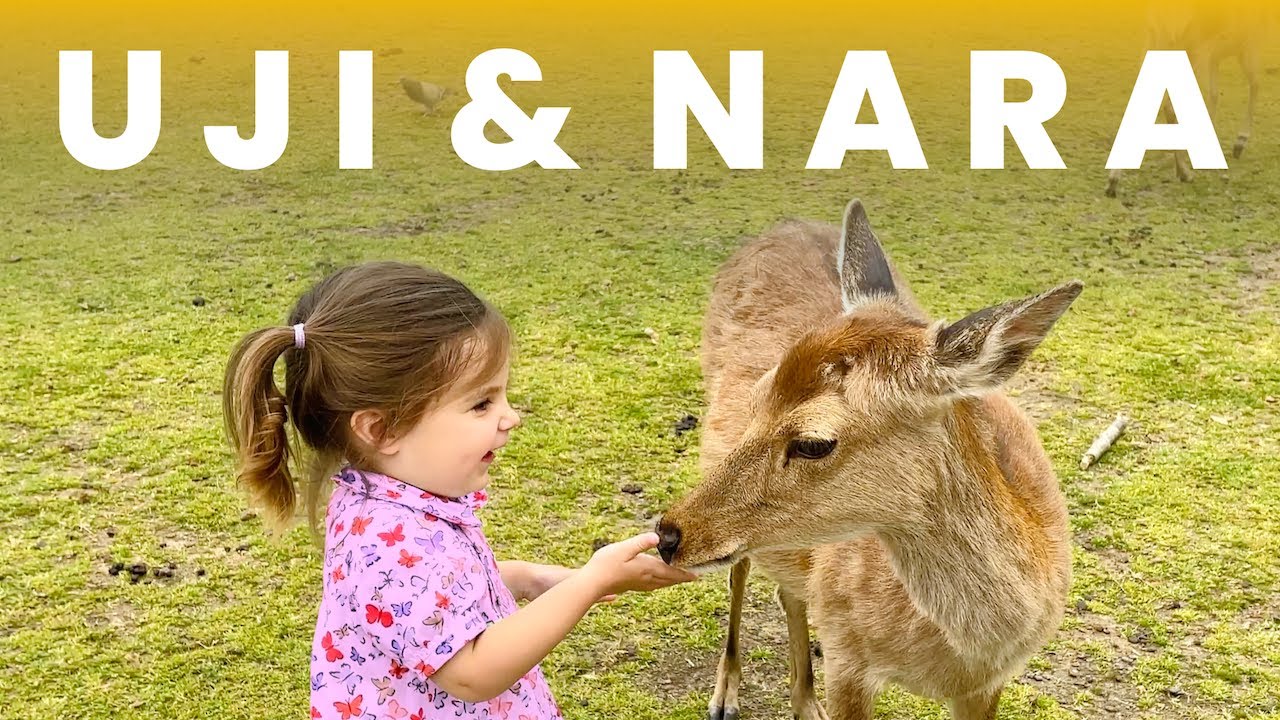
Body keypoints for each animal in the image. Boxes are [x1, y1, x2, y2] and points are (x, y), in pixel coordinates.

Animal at [656, 199, 1082, 720]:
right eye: (758, 398)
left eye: (814, 442)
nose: (667, 535)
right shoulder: (847, 657)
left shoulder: (987, 685)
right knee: (742, 571)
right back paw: (726, 695)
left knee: (787, 586)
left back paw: (805, 702)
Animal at [1105, 0, 1269, 197]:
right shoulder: (1247, 42)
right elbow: (1254, 85)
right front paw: (1239, 143)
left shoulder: (1217, 55)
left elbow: (1214, 95)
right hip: (1191, 44)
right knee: (1170, 104)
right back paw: (1184, 173)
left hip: (1157, 38)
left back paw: (1114, 182)